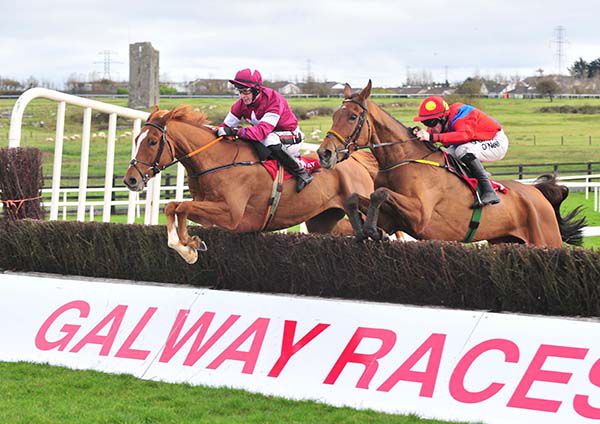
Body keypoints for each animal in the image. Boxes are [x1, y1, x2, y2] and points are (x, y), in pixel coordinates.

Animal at [122, 105, 378, 264]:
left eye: (152, 141)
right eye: (136, 139)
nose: (130, 179)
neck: (218, 160)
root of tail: (355, 160)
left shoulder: (233, 216)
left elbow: (182, 207)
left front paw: (189, 245)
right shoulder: (207, 209)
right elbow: (173, 207)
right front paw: (189, 246)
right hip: (323, 221)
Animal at [318, 81, 584, 247]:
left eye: (352, 117)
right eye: (334, 116)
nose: (324, 153)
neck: (403, 160)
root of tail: (537, 193)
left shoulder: (420, 215)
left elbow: (380, 193)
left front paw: (370, 231)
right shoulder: (393, 219)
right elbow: (355, 199)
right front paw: (364, 231)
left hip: (546, 240)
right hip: (505, 241)